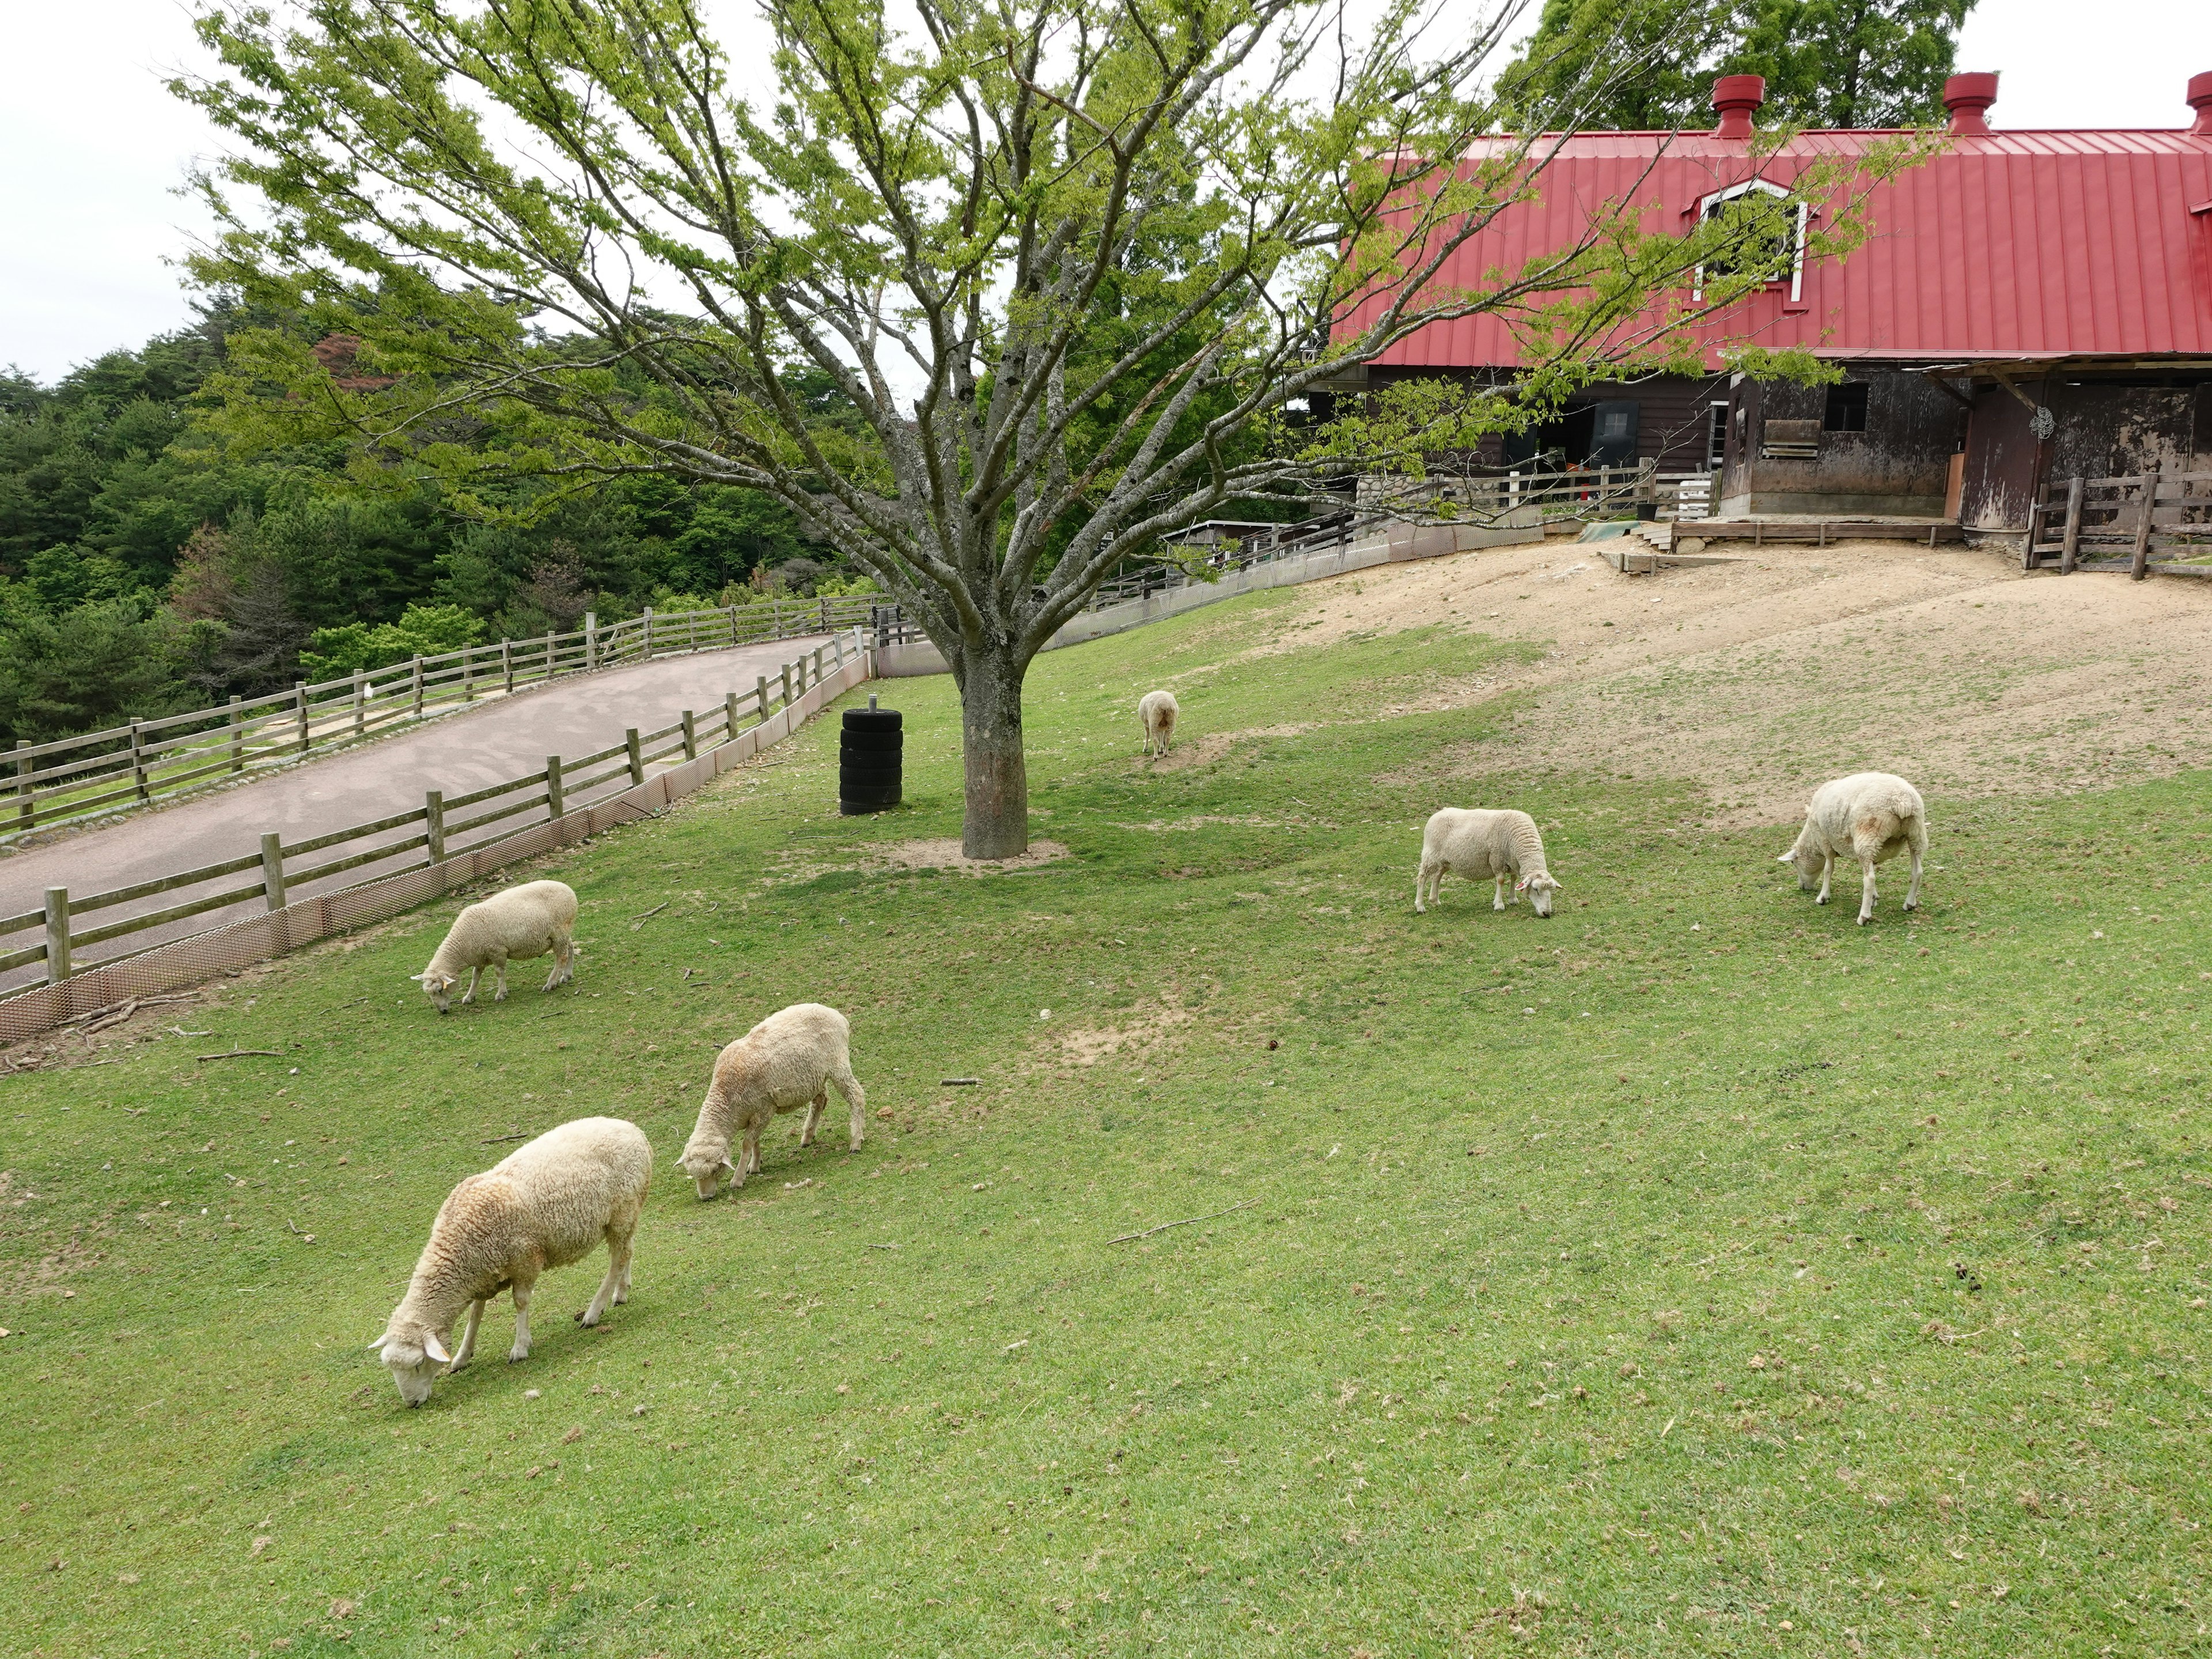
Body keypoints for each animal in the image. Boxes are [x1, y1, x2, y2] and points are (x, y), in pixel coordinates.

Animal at [369, 1119, 646, 1407]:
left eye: (418, 1363)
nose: (412, 1403)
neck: (459, 1248)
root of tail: (632, 1129)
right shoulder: (482, 1275)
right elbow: (475, 1314)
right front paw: (463, 1355)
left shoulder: (526, 1260)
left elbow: (521, 1302)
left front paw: (520, 1347)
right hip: (626, 1215)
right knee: (628, 1250)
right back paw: (621, 1292)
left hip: (622, 1210)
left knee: (618, 1259)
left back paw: (593, 1312)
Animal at [409, 885, 575, 1013]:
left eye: (440, 990)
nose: (442, 1011)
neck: (462, 944)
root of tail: (569, 890)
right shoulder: (479, 957)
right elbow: (475, 977)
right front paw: (469, 997)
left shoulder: (498, 951)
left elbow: (499, 973)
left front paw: (501, 994)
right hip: (562, 933)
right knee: (571, 948)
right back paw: (567, 976)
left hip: (559, 933)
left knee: (561, 958)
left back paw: (550, 984)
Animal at [677, 1009, 867, 1203]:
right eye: (691, 1172)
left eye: (716, 1169)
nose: (705, 1197)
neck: (726, 1099)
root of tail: (837, 1015)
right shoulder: (754, 1115)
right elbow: (755, 1141)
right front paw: (754, 1165)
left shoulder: (764, 1110)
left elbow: (747, 1143)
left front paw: (738, 1179)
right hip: (815, 1076)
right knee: (820, 1100)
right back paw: (808, 1137)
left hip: (838, 1063)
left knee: (856, 1096)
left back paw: (856, 1141)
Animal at [1407, 809, 1566, 925]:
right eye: (1535, 889)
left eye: (1551, 890)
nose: (1547, 913)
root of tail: (1436, 815)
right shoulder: (1497, 858)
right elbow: (1501, 880)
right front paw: (1499, 905)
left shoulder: (1512, 861)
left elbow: (1514, 879)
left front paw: (1513, 899)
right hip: (1430, 855)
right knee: (1422, 878)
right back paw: (1420, 906)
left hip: (1444, 861)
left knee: (1437, 877)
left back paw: (1435, 901)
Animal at [1770, 778, 1929, 929]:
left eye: (1793, 862)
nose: (1802, 887)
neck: (1813, 841)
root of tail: (1902, 802)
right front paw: (1873, 898)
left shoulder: (1825, 842)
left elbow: (1828, 870)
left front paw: (1823, 897)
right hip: (1916, 833)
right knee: (1917, 871)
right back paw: (1909, 904)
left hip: (1868, 836)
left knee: (1869, 879)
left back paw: (1864, 916)